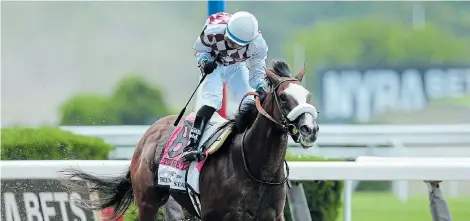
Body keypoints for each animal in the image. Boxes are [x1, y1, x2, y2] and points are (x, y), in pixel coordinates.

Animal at [61, 59, 320, 220]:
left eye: (308, 96)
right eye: (284, 97)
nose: (310, 129)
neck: (255, 168)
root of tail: (149, 134)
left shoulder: (272, 216)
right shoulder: (214, 215)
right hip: (147, 201)